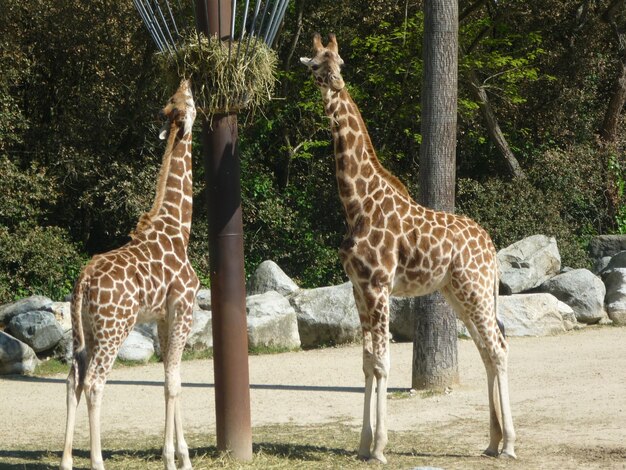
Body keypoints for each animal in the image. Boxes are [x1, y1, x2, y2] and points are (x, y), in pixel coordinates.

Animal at [60, 80, 199, 470]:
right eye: (187, 101)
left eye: (174, 99)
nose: (186, 80)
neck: (178, 229)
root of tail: (83, 280)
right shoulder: (184, 309)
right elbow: (173, 383)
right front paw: (170, 458)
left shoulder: (164, 316)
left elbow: (172, 377)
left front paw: (184, 456)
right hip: (114, 328)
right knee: (94, 382)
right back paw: (97, 461)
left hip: (87, 329)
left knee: (73, 379)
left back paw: (66, 461)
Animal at [300, 35, 516, 464]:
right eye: (315, 64)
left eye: (340, 62)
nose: (334, 82)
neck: (356, 203)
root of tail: (490, 247)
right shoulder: (359, 289)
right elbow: (367, 363)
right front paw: (363, 445)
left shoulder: (379, 285)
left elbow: (383, 363)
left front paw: (380, 447)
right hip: (460, 293)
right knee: (486, 349)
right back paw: (491, 442)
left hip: (475, 290)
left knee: (499, 349)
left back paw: (510, 445)